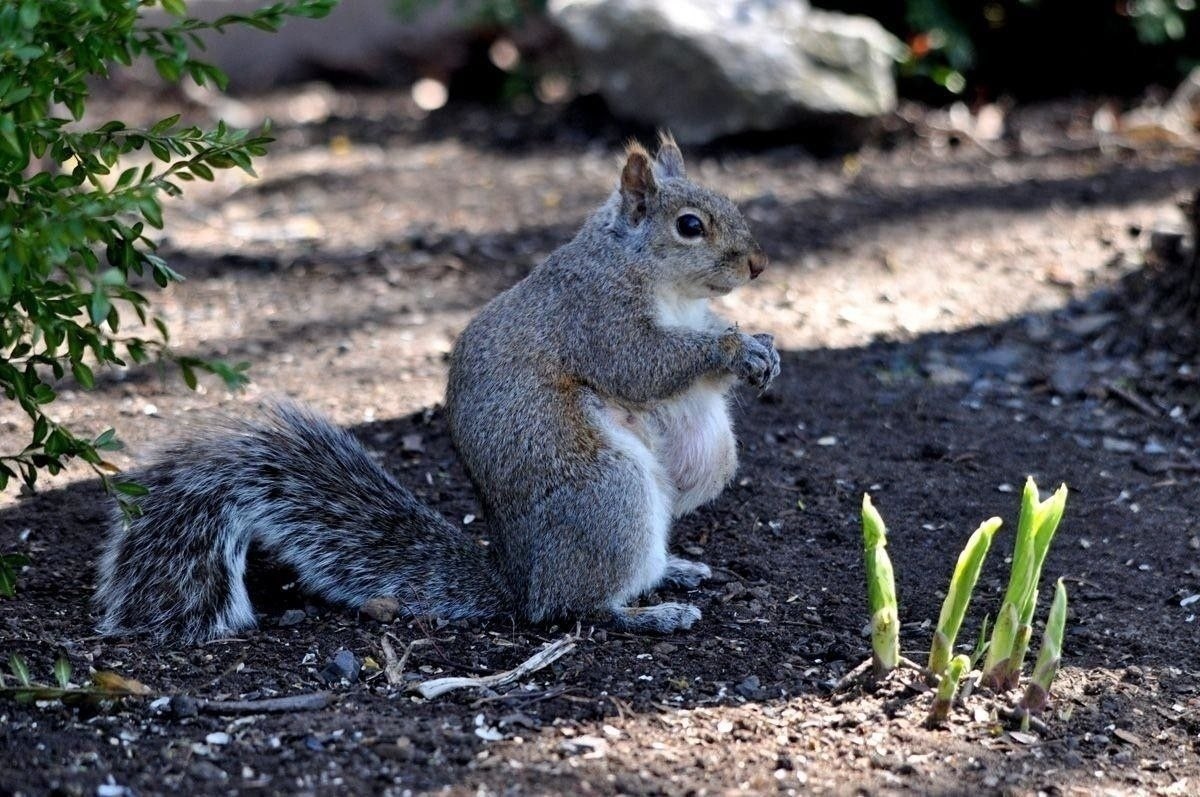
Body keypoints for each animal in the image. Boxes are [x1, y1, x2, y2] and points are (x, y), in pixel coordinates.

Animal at [98, 133, 782, 643]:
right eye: (689, 225)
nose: (758, 265)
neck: (649, 273)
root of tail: (519, 582)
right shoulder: (594, 318)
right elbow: (641, 366)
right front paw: (733, 349)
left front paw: (761, 345)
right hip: (608, 495)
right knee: (575, 607)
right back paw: (648, 613)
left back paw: (676, 571)